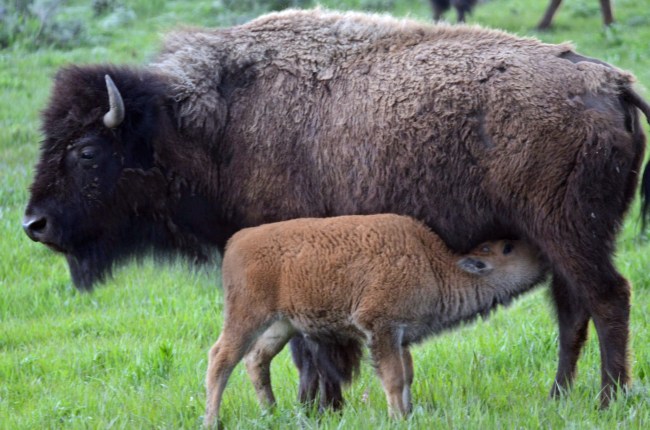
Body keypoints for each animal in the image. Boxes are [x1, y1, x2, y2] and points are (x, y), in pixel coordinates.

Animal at [23, 9, 650, 410]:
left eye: (85, 150)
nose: (34, 223)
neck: (206, 127)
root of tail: (612, 82)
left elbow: (310, 347)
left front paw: (316, 405)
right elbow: (312, 342)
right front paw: (321, 404)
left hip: (572, 234)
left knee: (606, 299)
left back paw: (606, 399)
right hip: (558, 241)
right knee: (571, 312)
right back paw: (558, 397)